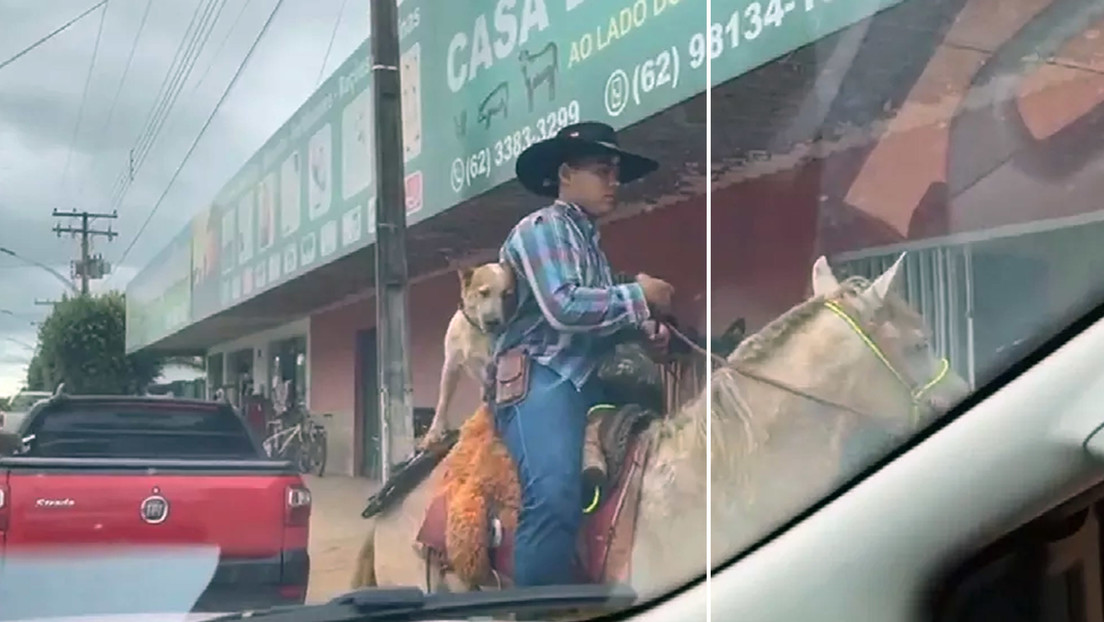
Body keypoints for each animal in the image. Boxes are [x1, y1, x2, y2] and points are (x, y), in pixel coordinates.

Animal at [419, 262, 514, 448]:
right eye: (484, 292)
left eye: (506, 295)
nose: (494, 322)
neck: (475, 331)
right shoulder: (451, 366)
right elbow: (443, 402)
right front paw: (434, 432)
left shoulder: (489, 366)